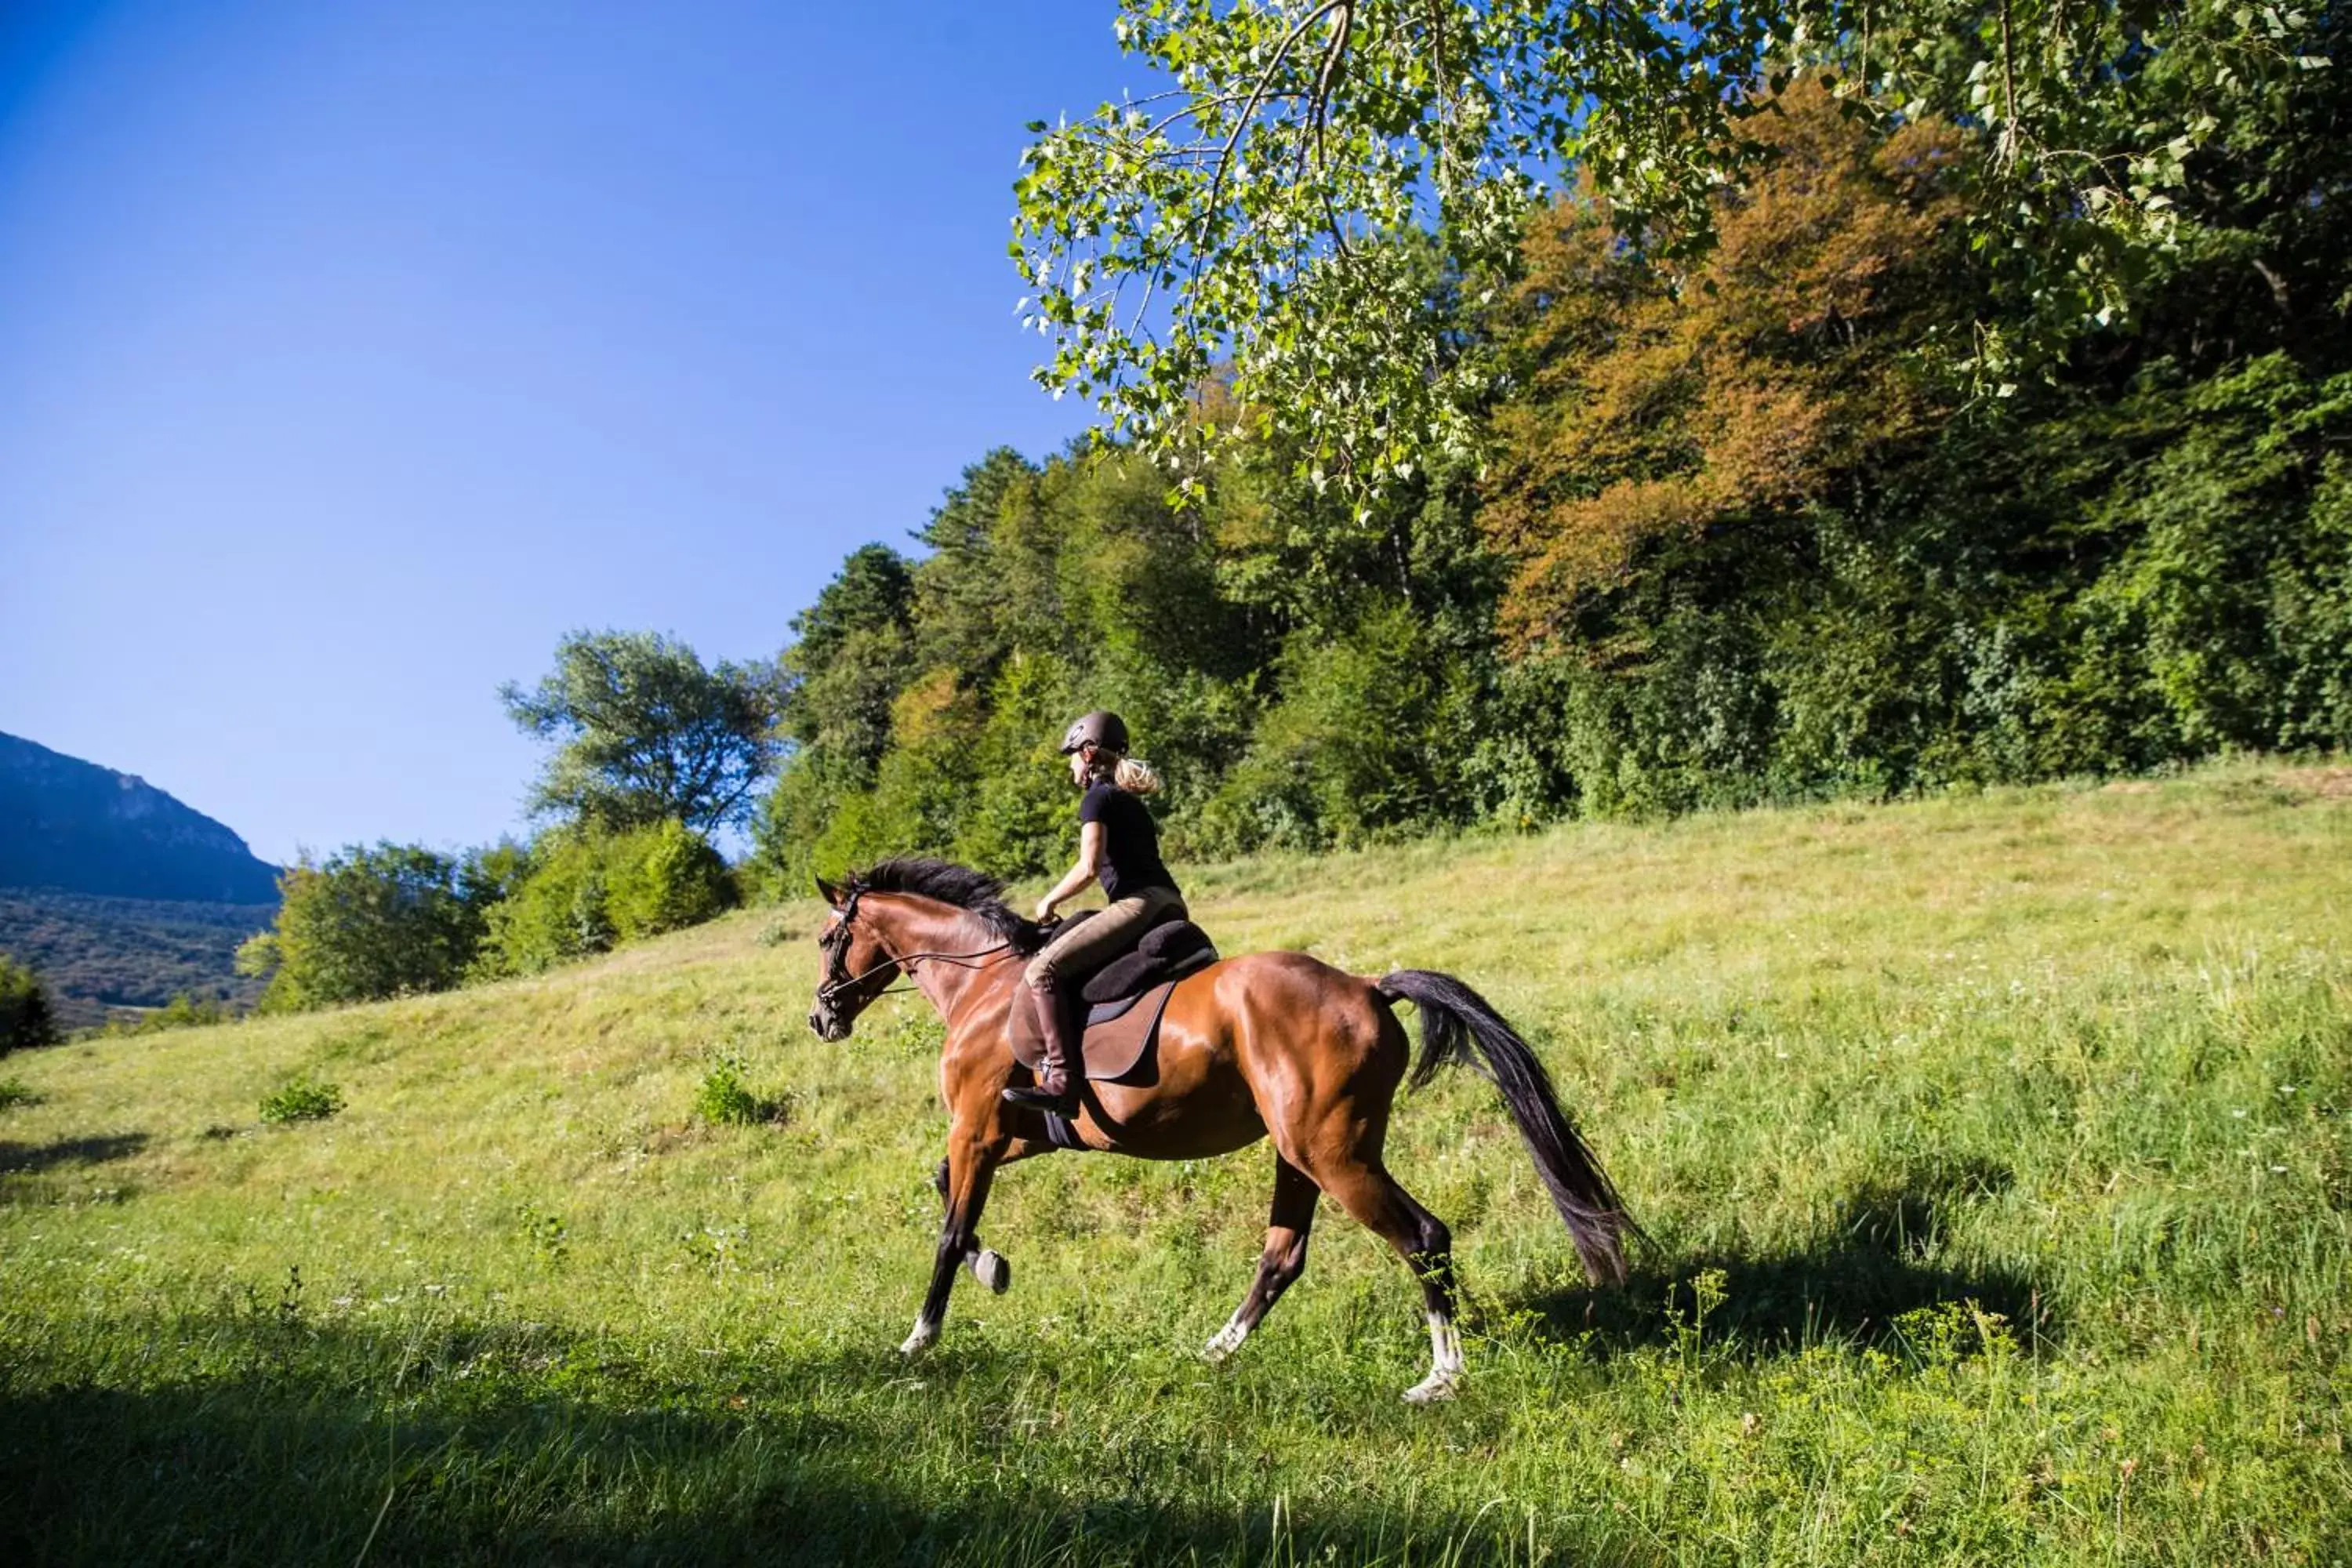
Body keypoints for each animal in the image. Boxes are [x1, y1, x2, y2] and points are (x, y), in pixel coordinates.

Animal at [809, 860, 1637, 1410]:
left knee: (1423, 1236)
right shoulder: (1018, 1131)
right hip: (1301, 1151)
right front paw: (995, 1269)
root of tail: (1367, 986)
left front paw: (919, 1340)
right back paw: (1217, 1348)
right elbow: (944, 1191)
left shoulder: (976, 1127)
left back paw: (1440, 1377)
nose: (821, 1018)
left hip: (1333, 1153)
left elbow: (950, 1230)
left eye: (826, 939)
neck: (980, 986)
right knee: (1284, 1255)